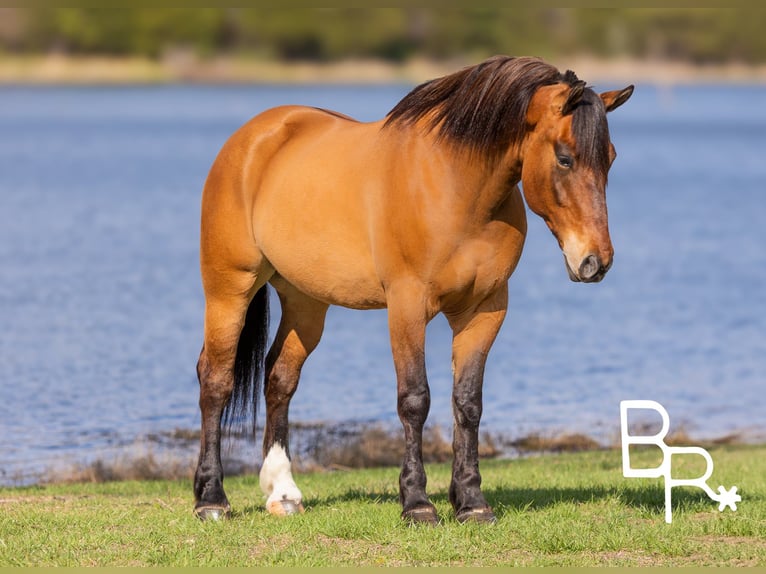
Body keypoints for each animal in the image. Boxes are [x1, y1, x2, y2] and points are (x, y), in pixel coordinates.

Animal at [193, 55, 633, 524]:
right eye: (565, 158)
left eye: (610, 158)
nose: (596, 262)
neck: (456, 190)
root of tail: (253, 137)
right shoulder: (406, 306)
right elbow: (415, 399)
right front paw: (417, 503)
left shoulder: (485, 309)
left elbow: (468, 402)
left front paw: (472, 502)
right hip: (229, 289)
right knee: (216, 379)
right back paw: (211, 499)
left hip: (305, 302)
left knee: (279, 379)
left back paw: (283, 493)